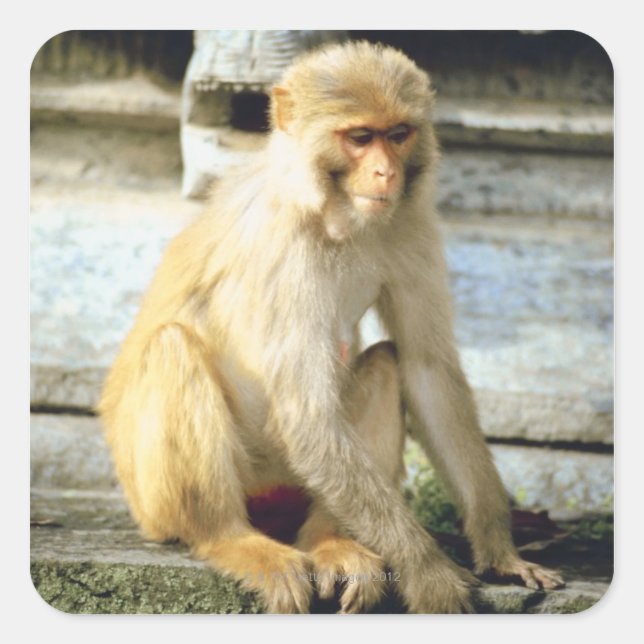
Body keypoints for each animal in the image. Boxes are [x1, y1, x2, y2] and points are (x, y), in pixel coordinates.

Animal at [99, 41, 564, 614]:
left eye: (398, 133)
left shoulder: (409, 222)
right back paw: (232, 539)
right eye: (360, 138)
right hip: (158, 502)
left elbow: (426, 368)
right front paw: (430, 573)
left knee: (386, 364)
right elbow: (308, 417)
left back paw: (329, 542)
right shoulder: (286, 247)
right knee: (171, 347)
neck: (329, 210)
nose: (386, 173)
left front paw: (499, 549)